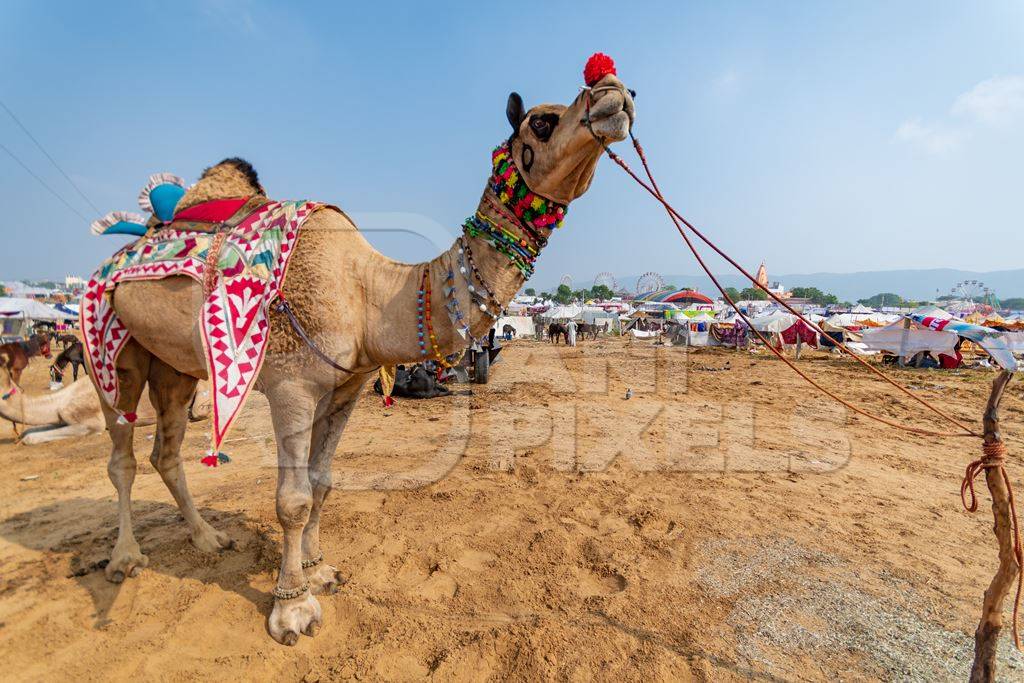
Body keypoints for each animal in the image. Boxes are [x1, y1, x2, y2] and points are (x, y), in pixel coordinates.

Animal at [0, 366, 211, 446]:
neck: (59, 401)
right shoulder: (61, 417)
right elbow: (29, 431)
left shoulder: (90, 422)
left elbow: (30, 437)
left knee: (198, 411)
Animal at [86, 54, 630, 647]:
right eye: (542, 122)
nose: (615, 93)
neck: (369, 294)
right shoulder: (291, 384)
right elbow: (292, 499)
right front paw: (292, 609)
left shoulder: (347, 386)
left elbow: (322, 484)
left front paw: (320, 569)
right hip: (107, 348)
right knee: (121, 455)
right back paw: (124, 559)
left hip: (174, 367)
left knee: (165, 450)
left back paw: (209, 540)